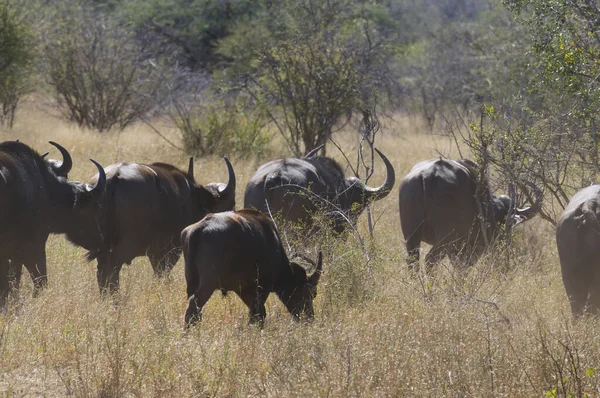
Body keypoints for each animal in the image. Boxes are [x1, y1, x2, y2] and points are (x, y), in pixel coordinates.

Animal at [182, 208, 324, 326]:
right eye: (309, 293)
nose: (309, 317)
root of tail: (199, 229)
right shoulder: (262, 286)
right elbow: (259, 313)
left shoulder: (243, 289)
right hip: (208, 284)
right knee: (194, 304)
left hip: (192, 282)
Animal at [398, 158, 540, 270]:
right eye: (506, 223)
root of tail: (428, 175)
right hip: (444, 239)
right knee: (430, 260)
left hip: (412, 235)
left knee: (413, 261)